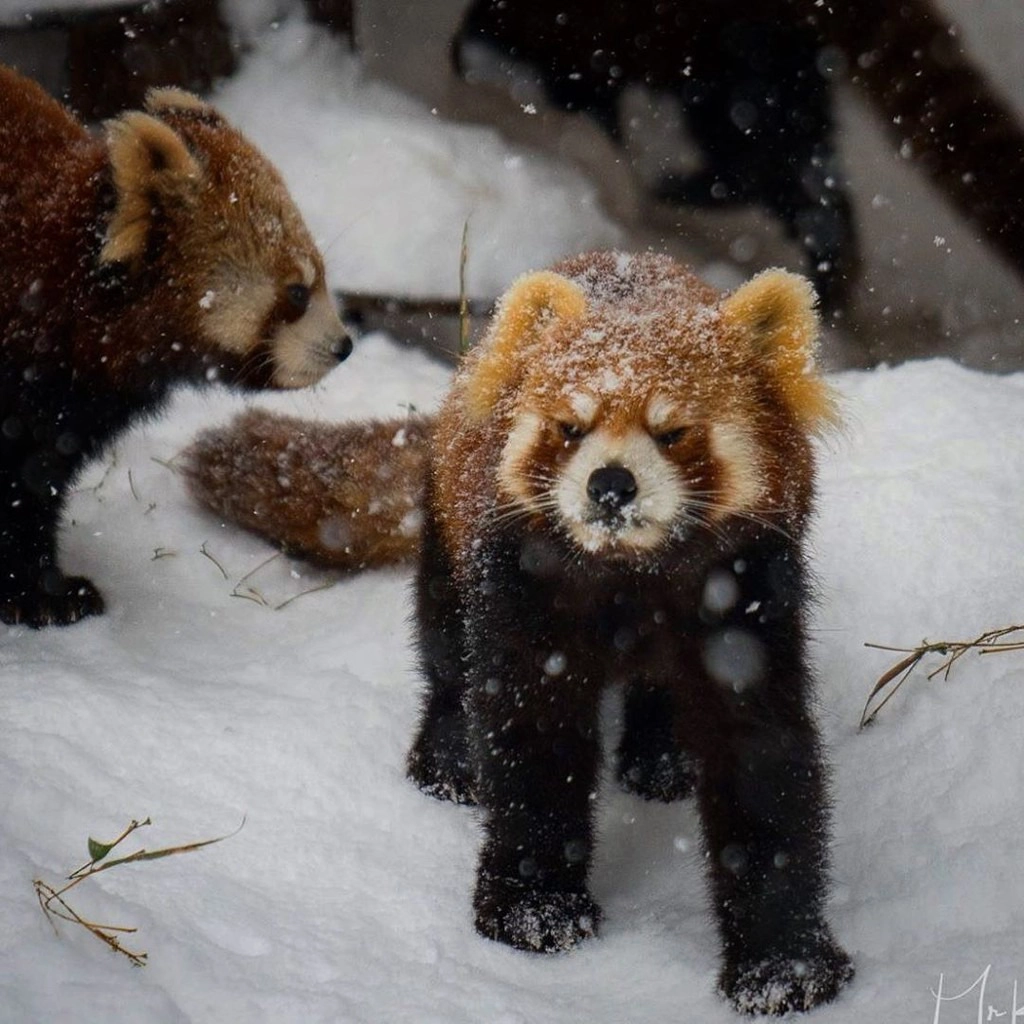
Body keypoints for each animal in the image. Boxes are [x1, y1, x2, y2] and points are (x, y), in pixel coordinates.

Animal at [0, 68, 352, 626]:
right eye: (297, 293)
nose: (345, 346)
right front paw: (30, 595)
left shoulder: (64, 409)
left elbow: (35, 480)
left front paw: (50, 586)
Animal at [188, 253, 851, 1015]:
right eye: (570, 427)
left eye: (672, 432)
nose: (611, 485)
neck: (630, 577)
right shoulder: (523, 584)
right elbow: (532, 740)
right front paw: (535, 911)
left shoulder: (746, 598)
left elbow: (765, 769)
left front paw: (784, 968)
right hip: (449, 524)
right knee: (446, 648)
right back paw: (449, 759)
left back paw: (659, 759)